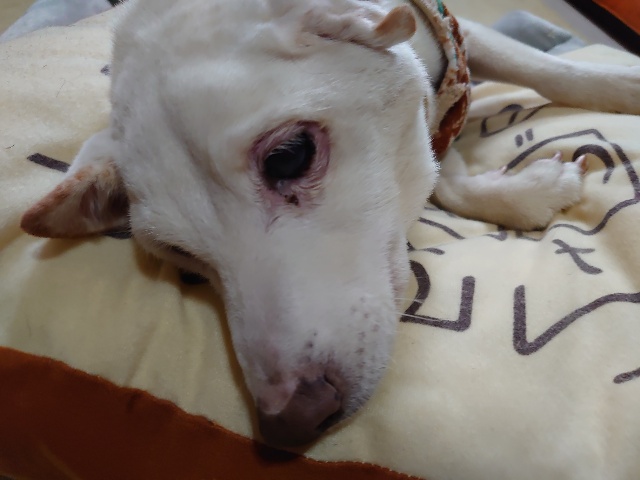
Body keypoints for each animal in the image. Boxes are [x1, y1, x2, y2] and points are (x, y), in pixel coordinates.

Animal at [19, 0, 640, 447]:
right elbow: (444, 173)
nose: (287, 425)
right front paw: (528, 191)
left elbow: (547, 70)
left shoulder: (453, 33)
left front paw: (621, 88)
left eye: (288, 157)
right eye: (182, 258)